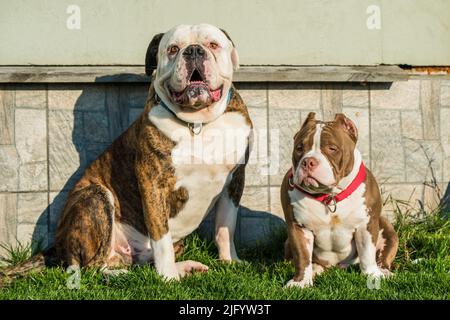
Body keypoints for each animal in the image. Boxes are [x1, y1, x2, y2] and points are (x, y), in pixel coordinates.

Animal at [52, 24, 253, 280]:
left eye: (213, 45)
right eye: (173, 49)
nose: (194, 51)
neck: (198, 123)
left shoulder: (234, 180)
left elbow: (225, 226)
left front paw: (230, 261)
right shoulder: (153, 184)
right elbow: (161, 238)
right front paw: (168, 278)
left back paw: (184, 267)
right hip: (95, 196)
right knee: (92, 267)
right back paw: (131, 275)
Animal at [282, 112, 398, 288]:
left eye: (332, 148)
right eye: (299, 148)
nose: (308, 162)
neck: (330, 196)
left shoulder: (366, 224)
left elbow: (367, 253)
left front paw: (372, 275)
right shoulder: (298, 227)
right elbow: (302, 256)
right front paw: (300, 282)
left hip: (386, 227)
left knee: (382, 256)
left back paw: (383, 271)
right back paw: (315, 269)